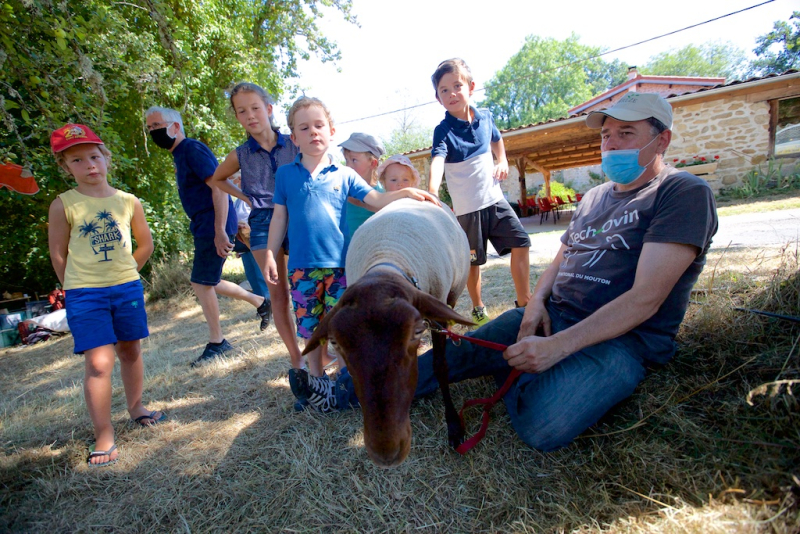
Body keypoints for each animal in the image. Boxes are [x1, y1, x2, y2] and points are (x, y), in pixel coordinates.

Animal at [304, 199, 472, 466]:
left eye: (417, 331)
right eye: (335, 342)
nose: (386, 453)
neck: (386, 258)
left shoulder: (438, 314)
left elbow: (440, 366)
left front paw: (454, 426)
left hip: (451, 296)